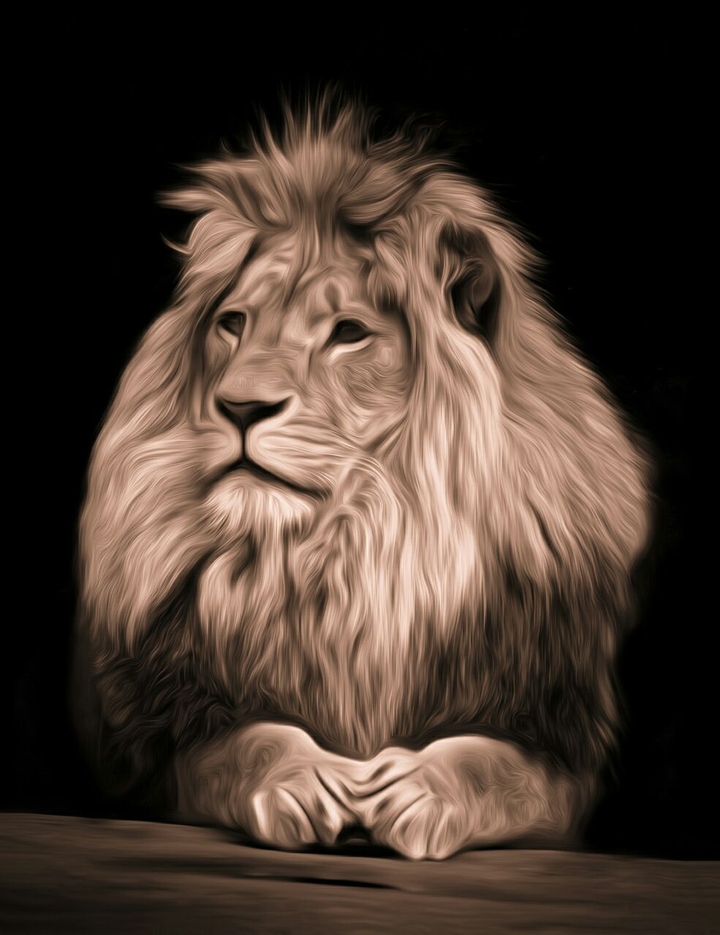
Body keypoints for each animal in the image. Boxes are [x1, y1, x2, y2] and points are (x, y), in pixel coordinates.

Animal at [72, 96, 652, 860]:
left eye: (349, 333)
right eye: (233, 323)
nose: (239, 407)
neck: (357, 551)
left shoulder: (562, 744)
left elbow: (500, 765)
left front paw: (421, 789)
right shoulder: (157, 742)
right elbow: (238, 743)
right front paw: (301, 778)